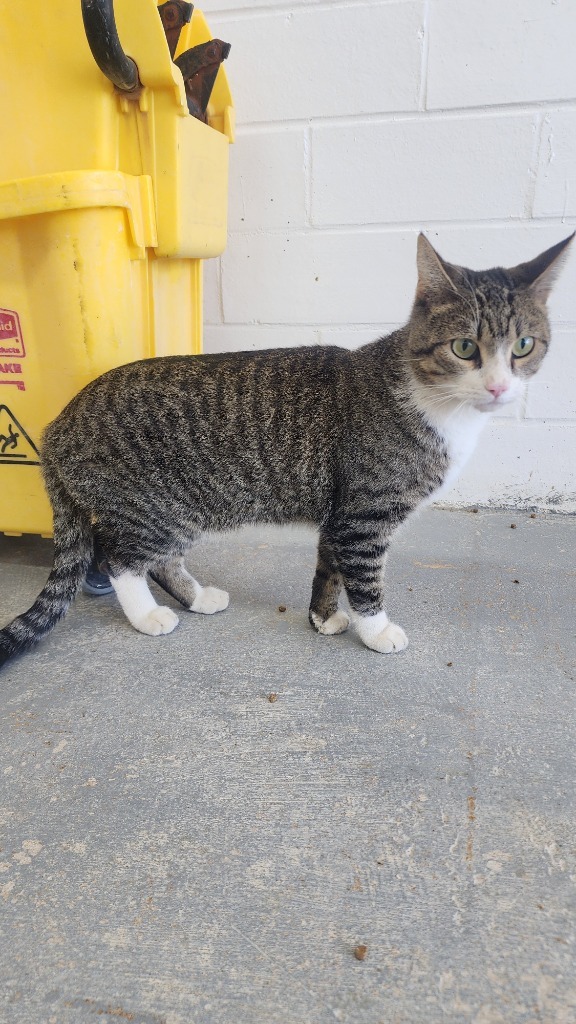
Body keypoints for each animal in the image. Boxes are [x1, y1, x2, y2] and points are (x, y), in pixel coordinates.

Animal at [0, 235, 569, 675]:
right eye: (464, 348)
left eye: (523, 346)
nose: (498, 387)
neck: (436, 403)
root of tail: (57, 424)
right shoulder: (364, 515)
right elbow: (366, 578)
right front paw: (376, 630)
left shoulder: (341, 514)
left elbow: (329, 571)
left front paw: (322, 618)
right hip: (156, 508)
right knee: (118, 559)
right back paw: (148, 617)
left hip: (176, 511)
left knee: (157, 559)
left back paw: (198, 597)